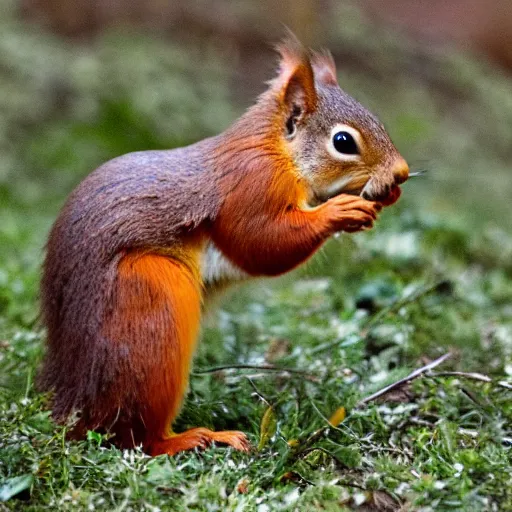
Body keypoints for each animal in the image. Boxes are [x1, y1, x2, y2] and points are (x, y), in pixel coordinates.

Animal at [38, 38, 408, 458]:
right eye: (343, 142)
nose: (401, 173)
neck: (276, 151)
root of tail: (73, 399)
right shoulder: (250, 188)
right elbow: (260, 244)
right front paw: (339, 211)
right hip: (150, 307)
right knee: (136, 438)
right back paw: (195, 437)